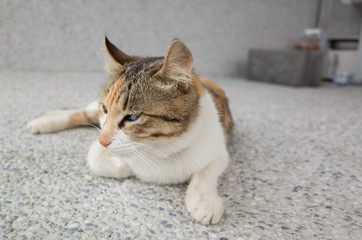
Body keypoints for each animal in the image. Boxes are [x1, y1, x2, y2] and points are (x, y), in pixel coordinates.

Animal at [26, 37, 233, 225]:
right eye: (105, 109)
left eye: (132, 118)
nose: (102, 140)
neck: (159, 148)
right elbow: (96, 158)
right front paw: (124, 166)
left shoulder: (217, 149)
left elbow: (205, 173)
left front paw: (205, 201)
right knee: (83, 111)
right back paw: (46, 120)